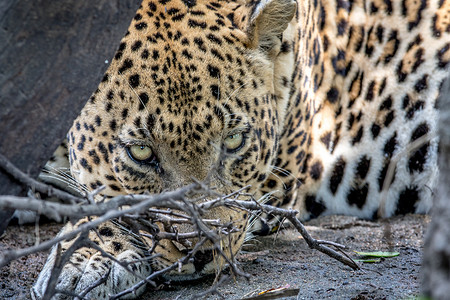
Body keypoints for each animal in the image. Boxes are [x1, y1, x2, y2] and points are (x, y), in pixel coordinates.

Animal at [31, 0, 450, 298]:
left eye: (233, 142)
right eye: (141, 154)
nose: (200, 250)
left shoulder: (274, 184)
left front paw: (84, 258)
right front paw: (87, 257)